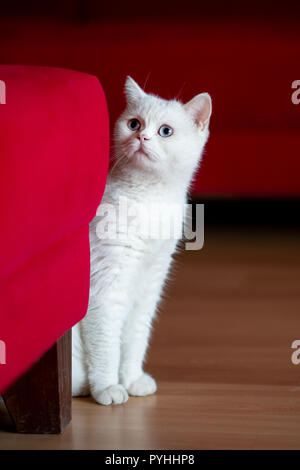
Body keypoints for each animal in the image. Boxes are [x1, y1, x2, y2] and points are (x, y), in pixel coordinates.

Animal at [72, 76, 211, 404]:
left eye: (165, 131)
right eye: (134, 124)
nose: (141, 137)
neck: (150, 198)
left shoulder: (149, 285)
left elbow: (135, 339)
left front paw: (132, 380)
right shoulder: (106, 289)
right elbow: (107, 346)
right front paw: (108, 388)